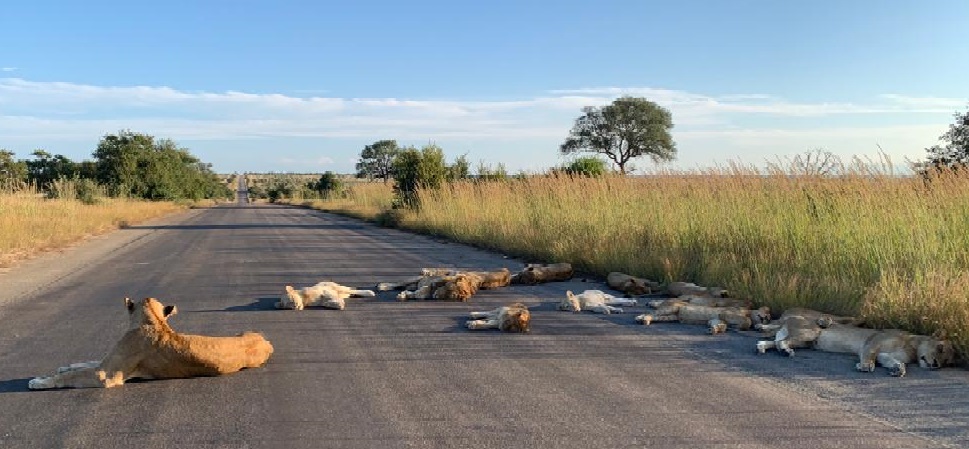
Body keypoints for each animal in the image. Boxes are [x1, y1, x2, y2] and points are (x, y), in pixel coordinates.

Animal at [29, 297, 273, 389]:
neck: (154, 321)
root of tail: (265, 340)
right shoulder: (106, 363)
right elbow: (86, 363)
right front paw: (64, 366)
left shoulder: (107, 376)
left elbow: (71, 376)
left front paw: (39, 381)